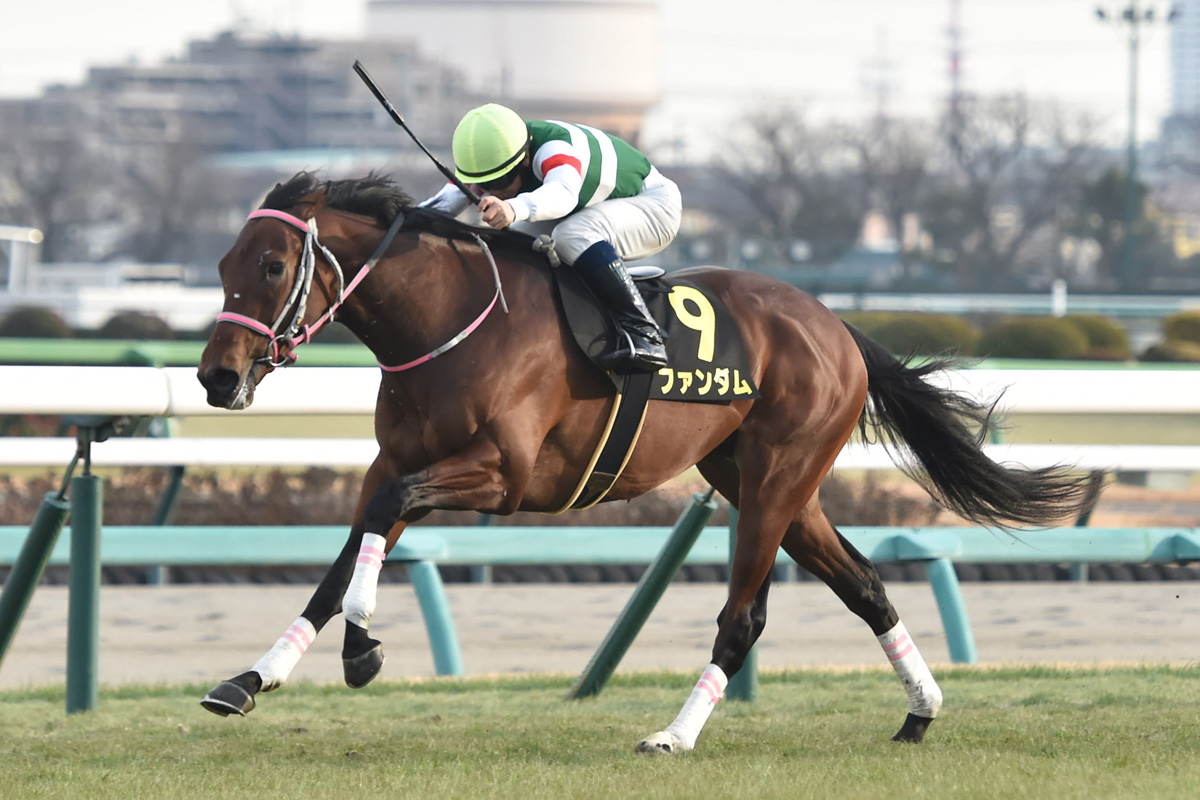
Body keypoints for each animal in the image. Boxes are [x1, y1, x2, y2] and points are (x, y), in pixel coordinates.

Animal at [196, 171, 1092, 754]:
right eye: (223, 266)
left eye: (273, 266)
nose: (215, 377)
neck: (450, 319)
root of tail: (836, 326)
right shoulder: (395, 464)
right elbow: (345, 558)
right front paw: (250, 680)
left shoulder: (503, 476)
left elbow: (380, 530)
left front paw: (362, 649)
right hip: (766, 482)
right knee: (864, 584)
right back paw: (921, 711)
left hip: (777, 478)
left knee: (744, 617)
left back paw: (675, 734)